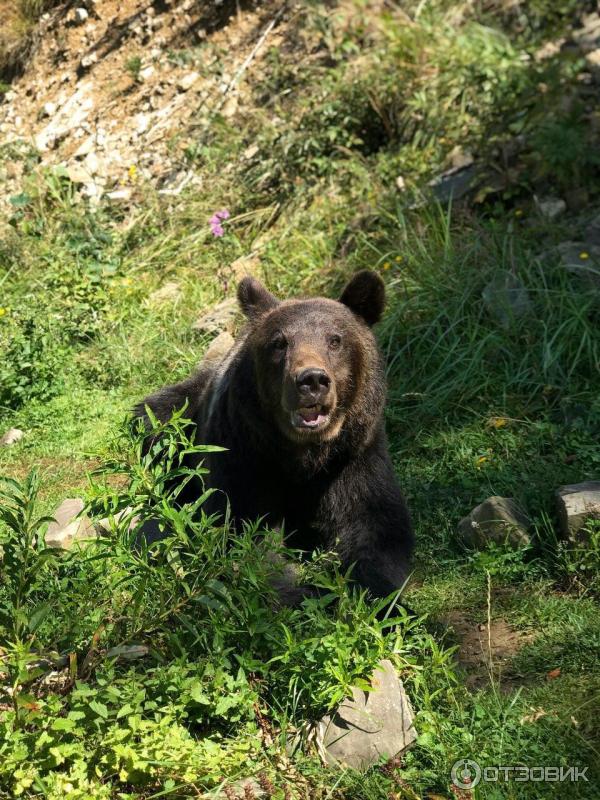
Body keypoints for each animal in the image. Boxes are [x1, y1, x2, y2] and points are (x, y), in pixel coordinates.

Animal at [137, 272, 412, 604]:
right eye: (279, 342)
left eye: (335, 339)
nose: (312, 380)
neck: (303, 457)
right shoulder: (247, 453)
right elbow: (243, 531)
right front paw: (302, 590)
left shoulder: (352, 457)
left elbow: (374, 529)